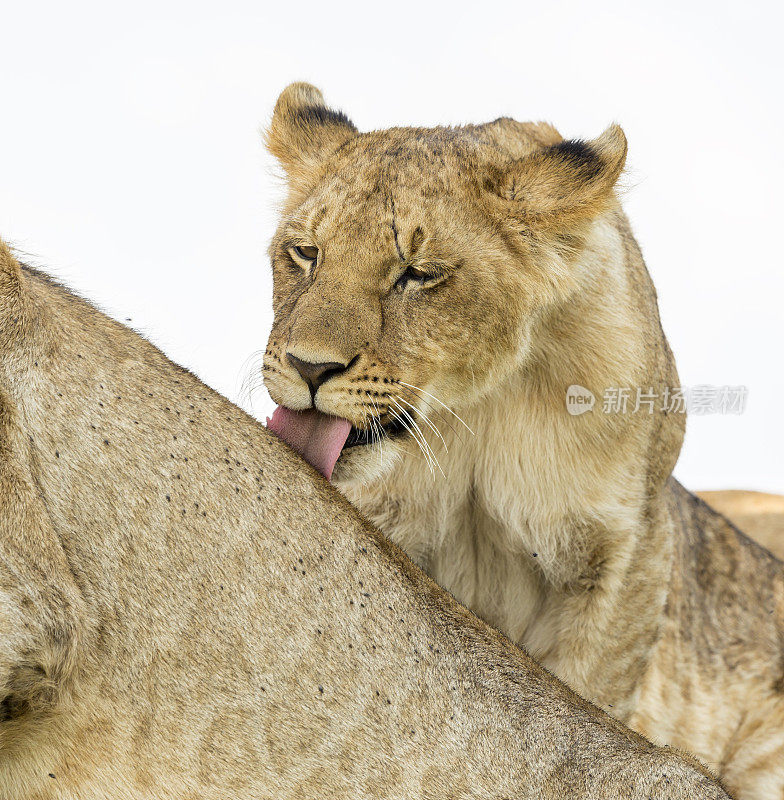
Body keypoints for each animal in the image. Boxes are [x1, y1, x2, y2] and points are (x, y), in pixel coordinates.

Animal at [264, 83, 784, 800]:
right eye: (305, 253)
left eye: (417, 273)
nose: (309, 368)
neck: (472, 410)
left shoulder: (629, 551)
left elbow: (588, 695)